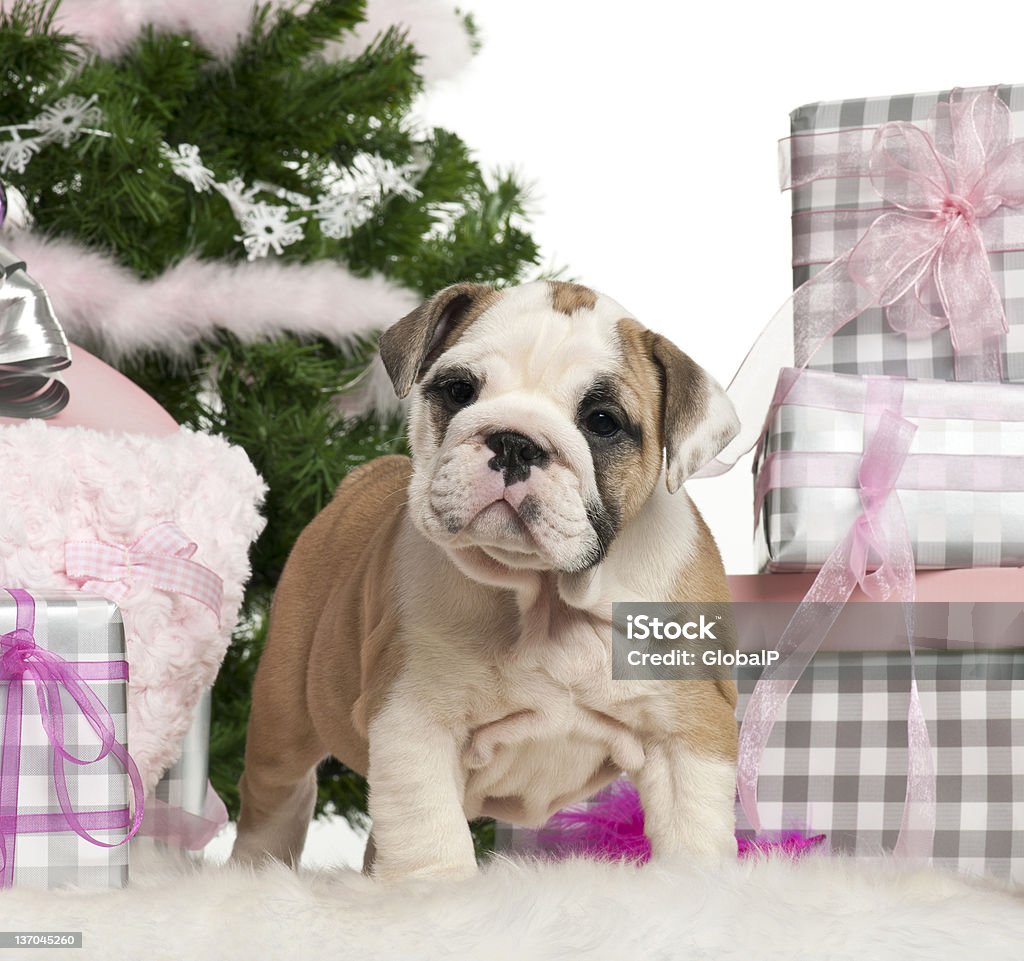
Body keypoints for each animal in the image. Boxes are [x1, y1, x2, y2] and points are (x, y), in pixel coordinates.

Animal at [231, 276, 741, 876]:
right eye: (458, 391)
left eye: (602, 422)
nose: (516, 440)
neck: (550, 597)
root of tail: (363, 476)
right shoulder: (413, 724)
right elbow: (432, 843)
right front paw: (438, 892)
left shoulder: (688, 735)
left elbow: (693, 836)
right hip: (284, 710)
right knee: (278, 800)